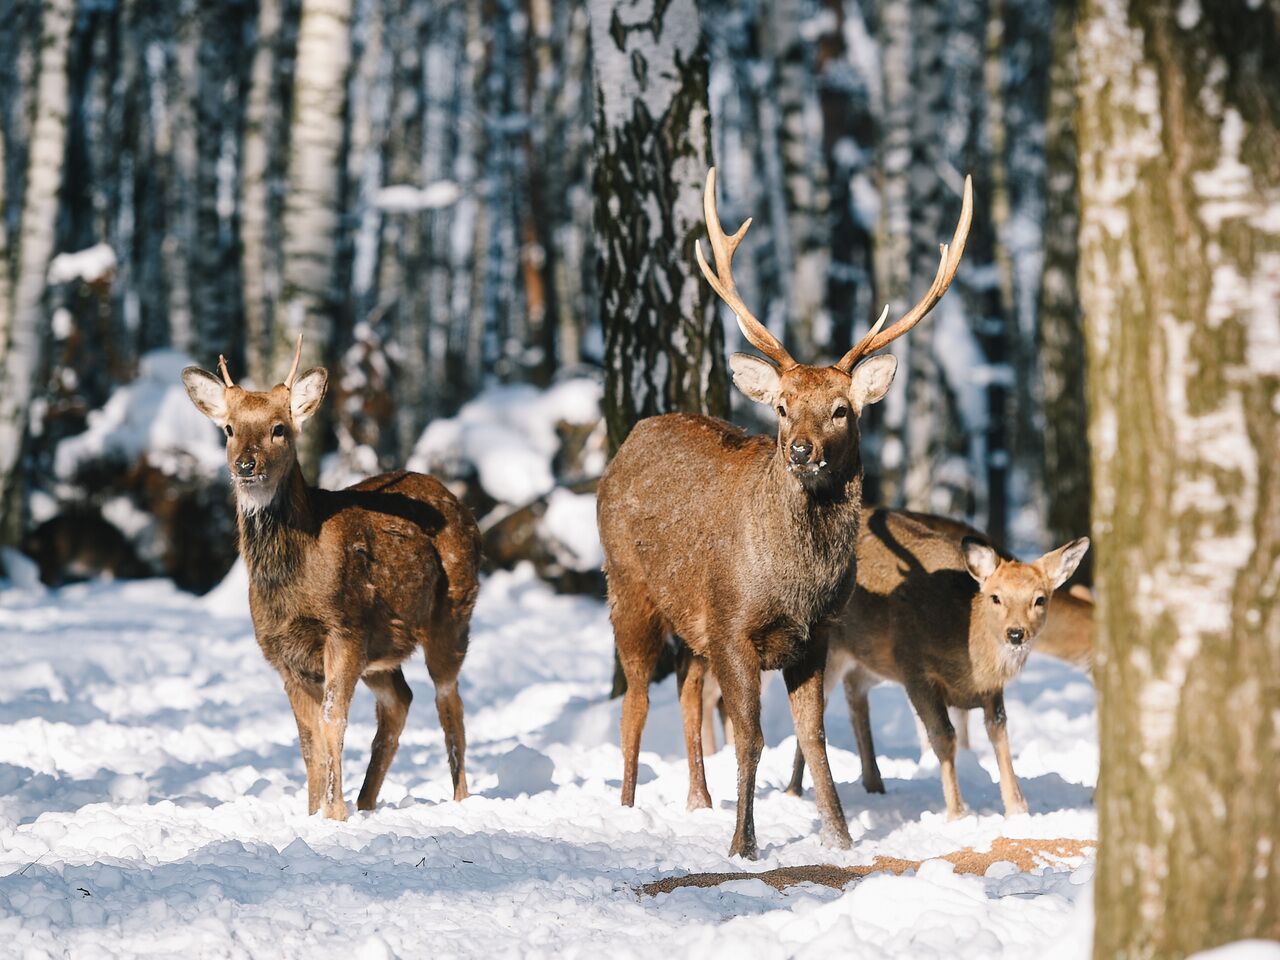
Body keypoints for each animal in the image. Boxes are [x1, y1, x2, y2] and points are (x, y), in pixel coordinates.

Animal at [181, 337, 481, 819]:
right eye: (228, 429)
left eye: (279, 428)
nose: (245, 464)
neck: (292, 581)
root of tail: (459, 503)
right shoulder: (282, 652)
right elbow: (308, 739)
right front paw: (313, 814)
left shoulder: (344, 629)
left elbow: (331, 720)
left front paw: (333, 815)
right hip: (383, 646)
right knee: (400, 700)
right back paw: (366, 802)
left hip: (451, 615)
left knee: (448, 698)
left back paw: (458, 799)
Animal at [596, 168, 967, 860]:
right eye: (782, 407)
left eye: (842, 409)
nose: (800, 450)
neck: (795, 583)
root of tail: (630, 438)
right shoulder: (734, 625)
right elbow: (753, 737)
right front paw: (743, 844)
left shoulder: (815, 634)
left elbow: (814, 737)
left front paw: (841, 837)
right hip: (627, 584)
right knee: (635, 699)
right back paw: (630, 807)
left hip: (692, 615)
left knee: (686, 689)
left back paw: (698, 800)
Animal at [778, 512, 1090, 819]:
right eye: (996, 597)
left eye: (1039, 599)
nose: (1015, 633)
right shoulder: (914, 668)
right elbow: (944, 736)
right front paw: (957, 813)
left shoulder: (992, 689)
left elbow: (998, 733)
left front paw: (1017, 810)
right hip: (829, 653)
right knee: (811, 712)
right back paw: (793, 790)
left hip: (868, 661)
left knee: (853, 696)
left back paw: (873, 783)